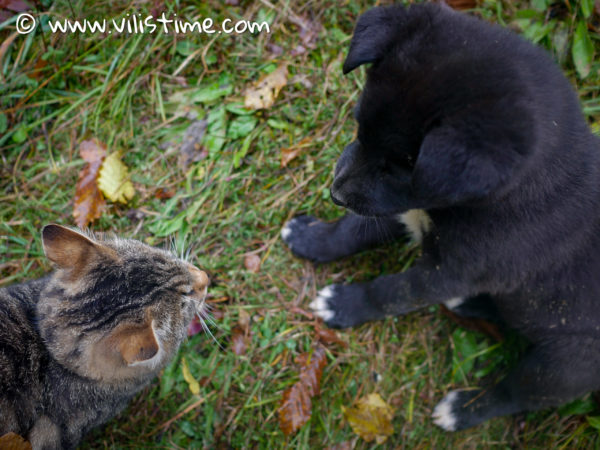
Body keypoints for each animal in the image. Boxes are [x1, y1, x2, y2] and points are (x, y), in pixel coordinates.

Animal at [280, 2, 600, 432]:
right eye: (359, 127)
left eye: (399, 166)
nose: (336, 194)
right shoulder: (404, 202)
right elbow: (355, 230)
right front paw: (311, 237)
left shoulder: (444, 269)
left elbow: (392, 292)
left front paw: (345, 304)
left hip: (566, 364)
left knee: (517, 393)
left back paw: (462, 409)